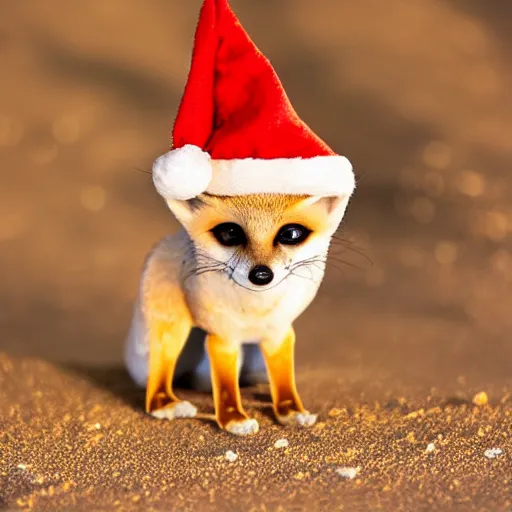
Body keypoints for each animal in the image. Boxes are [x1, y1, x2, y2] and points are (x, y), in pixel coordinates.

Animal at [125, 193, 350, 436]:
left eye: (291, 234)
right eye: (229, 233)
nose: (261, 275)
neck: (256, 310)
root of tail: (170, 239)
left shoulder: (278, 334)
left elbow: (284, 382)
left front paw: (291, 412)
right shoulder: (223, 339)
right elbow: (226, 387)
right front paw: (234, 420)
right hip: (171, 333)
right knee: (156, 382)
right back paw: (166, 405)